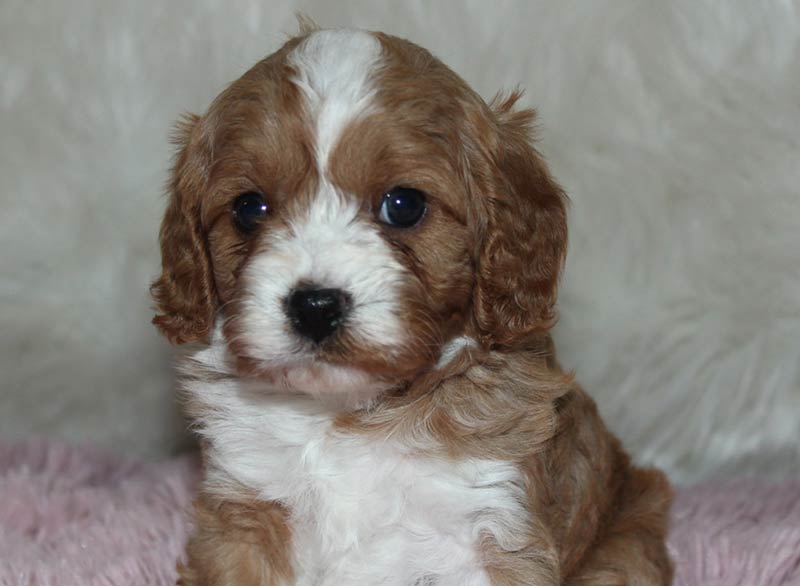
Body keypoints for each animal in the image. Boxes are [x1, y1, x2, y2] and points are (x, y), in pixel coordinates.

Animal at [152, 26, 676, 580]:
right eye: (249, 209)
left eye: (404, 205)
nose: (315, 306)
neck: (343, 413)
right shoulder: (244, 515)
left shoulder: (490, 524)